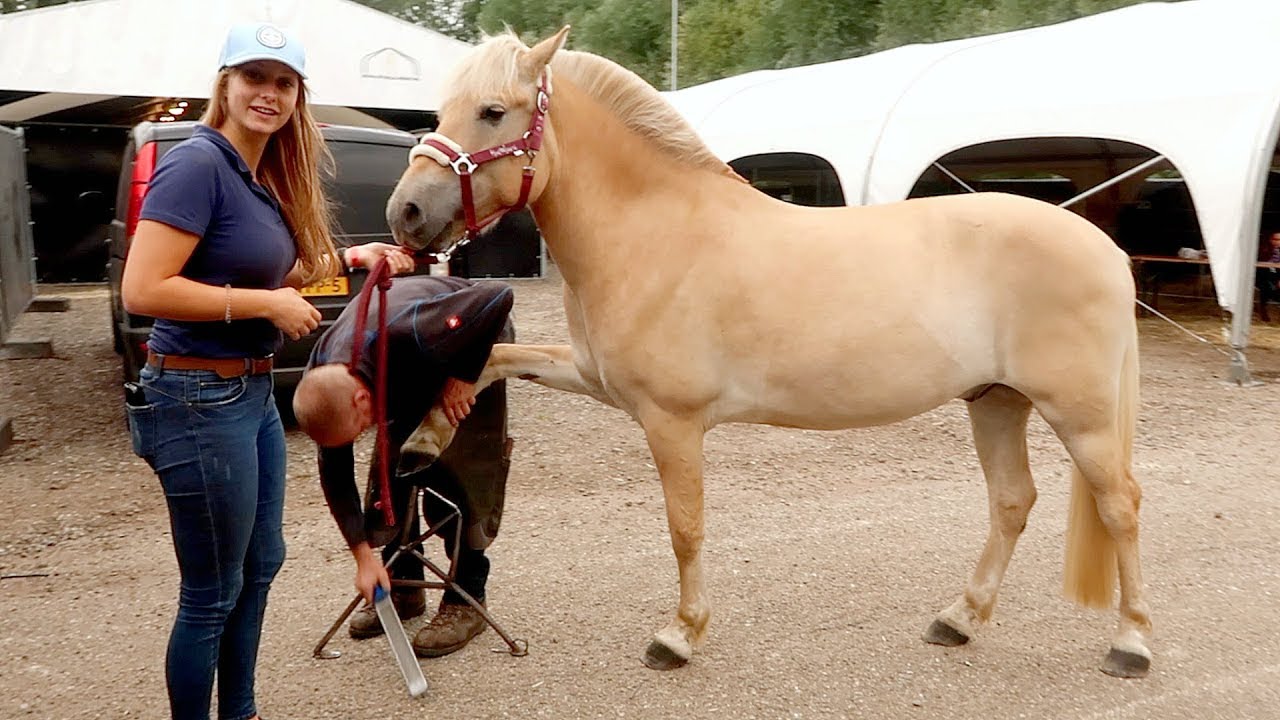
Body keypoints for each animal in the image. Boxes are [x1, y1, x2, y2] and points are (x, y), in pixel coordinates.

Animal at [384, 27, 1151, 679]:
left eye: (492, 111)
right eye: (442, 109)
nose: (407, 213)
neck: (655, 233)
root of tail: (1106, 249)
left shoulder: (672, 421)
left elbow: (686, 529)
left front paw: (679, 635)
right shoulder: (592, 376)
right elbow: (489, 360)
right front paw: (424, 438)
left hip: (1078, 416)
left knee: (1119, 506)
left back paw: (1131, 643)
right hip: (996, 402)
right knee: (1012, 502)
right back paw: (958, 619)